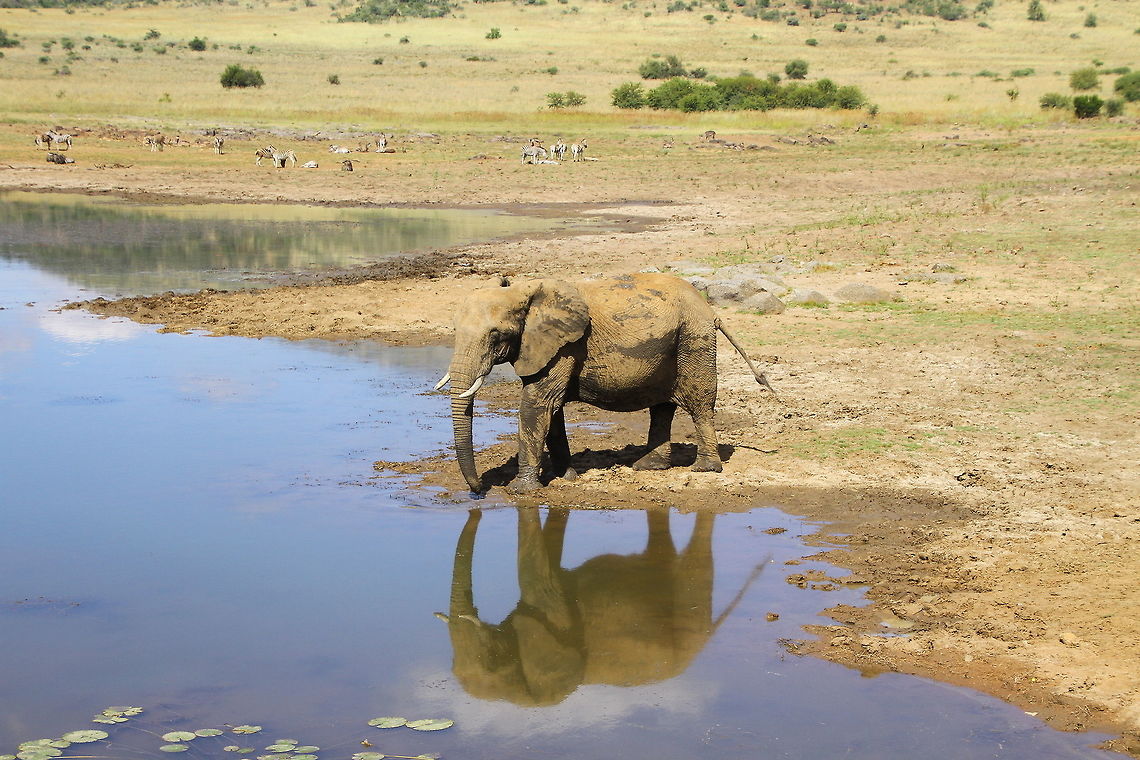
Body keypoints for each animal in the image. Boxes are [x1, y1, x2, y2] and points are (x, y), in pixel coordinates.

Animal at [435, 273, 774, 493]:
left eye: (496, 335)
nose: (478, 491)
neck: (524, 290)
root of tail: (710, 309)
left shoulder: (566, 345)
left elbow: (537, 403)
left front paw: (521, 489)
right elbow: (551, 409)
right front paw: (567, 477)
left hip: (694, 338)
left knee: (698, 402)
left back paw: (704, 469)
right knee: (662, 406)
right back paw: (648, 466)